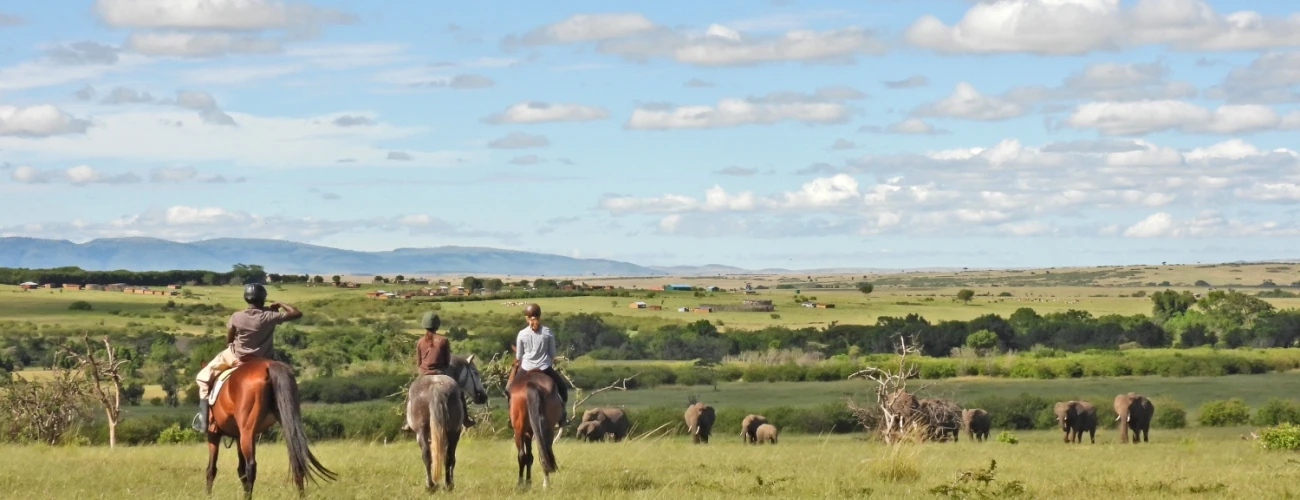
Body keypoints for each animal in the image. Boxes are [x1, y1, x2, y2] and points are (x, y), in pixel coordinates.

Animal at [202, 355, 335, 496]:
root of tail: (269, 365)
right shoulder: (238, 436)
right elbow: (240, 470)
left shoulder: (214, 433)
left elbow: (212, 469)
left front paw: (208, 495)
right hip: (284, 422)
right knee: (296, 458)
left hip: (247, 432)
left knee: (251, 466)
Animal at [405, 353, 488, 490]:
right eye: (475, 373)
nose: (483, 396)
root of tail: (435, 387)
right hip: (453, 432)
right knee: (448, 456)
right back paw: (448, 485)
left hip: (422, 432)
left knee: (427, 455)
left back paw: (430, 485)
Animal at [504, 348, 561, 488]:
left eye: (513, 365)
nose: (507, 388)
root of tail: (532, 384)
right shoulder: (530, 432)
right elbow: (530, 456)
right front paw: (529, 481)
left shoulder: (525, 432)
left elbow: (526, 456)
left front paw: (526, 483)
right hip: (547, 428)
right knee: (544, 451)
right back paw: (546, 483)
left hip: (519, 431)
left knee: (521, 455)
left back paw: (520, 484)